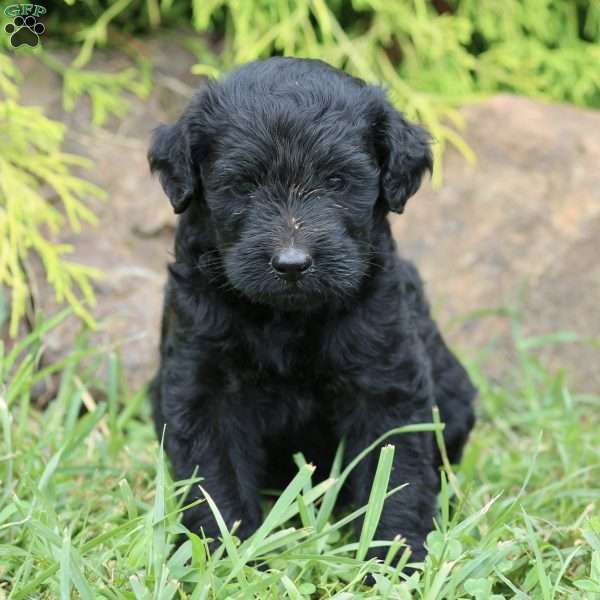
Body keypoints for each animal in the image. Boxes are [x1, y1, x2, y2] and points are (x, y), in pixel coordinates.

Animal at [148, 58, 476, 564]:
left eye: (337, 181)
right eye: (243, 186)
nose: (291, 263)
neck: (288, 318)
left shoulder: (387, 385)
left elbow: (396, 475)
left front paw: (394, 556)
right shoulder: (202, 385)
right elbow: (215, 480)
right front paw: (228, 555)